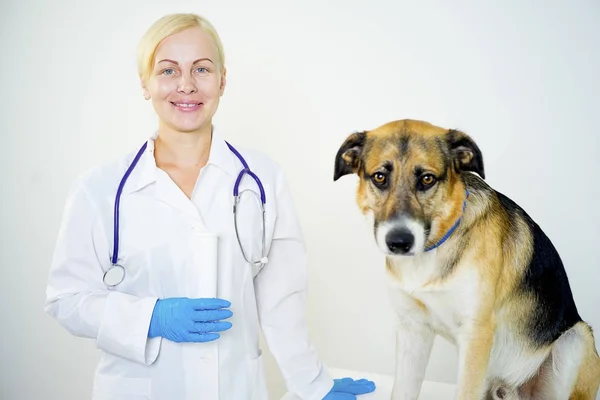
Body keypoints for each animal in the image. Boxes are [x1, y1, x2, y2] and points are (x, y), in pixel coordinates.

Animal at [332, 119, 600, 400]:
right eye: (380, 177)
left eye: (427, 179)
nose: (399, 242)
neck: (432, 251)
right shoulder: (413, 331)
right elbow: (402, 391)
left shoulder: (475, 336)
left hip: (576, 338)